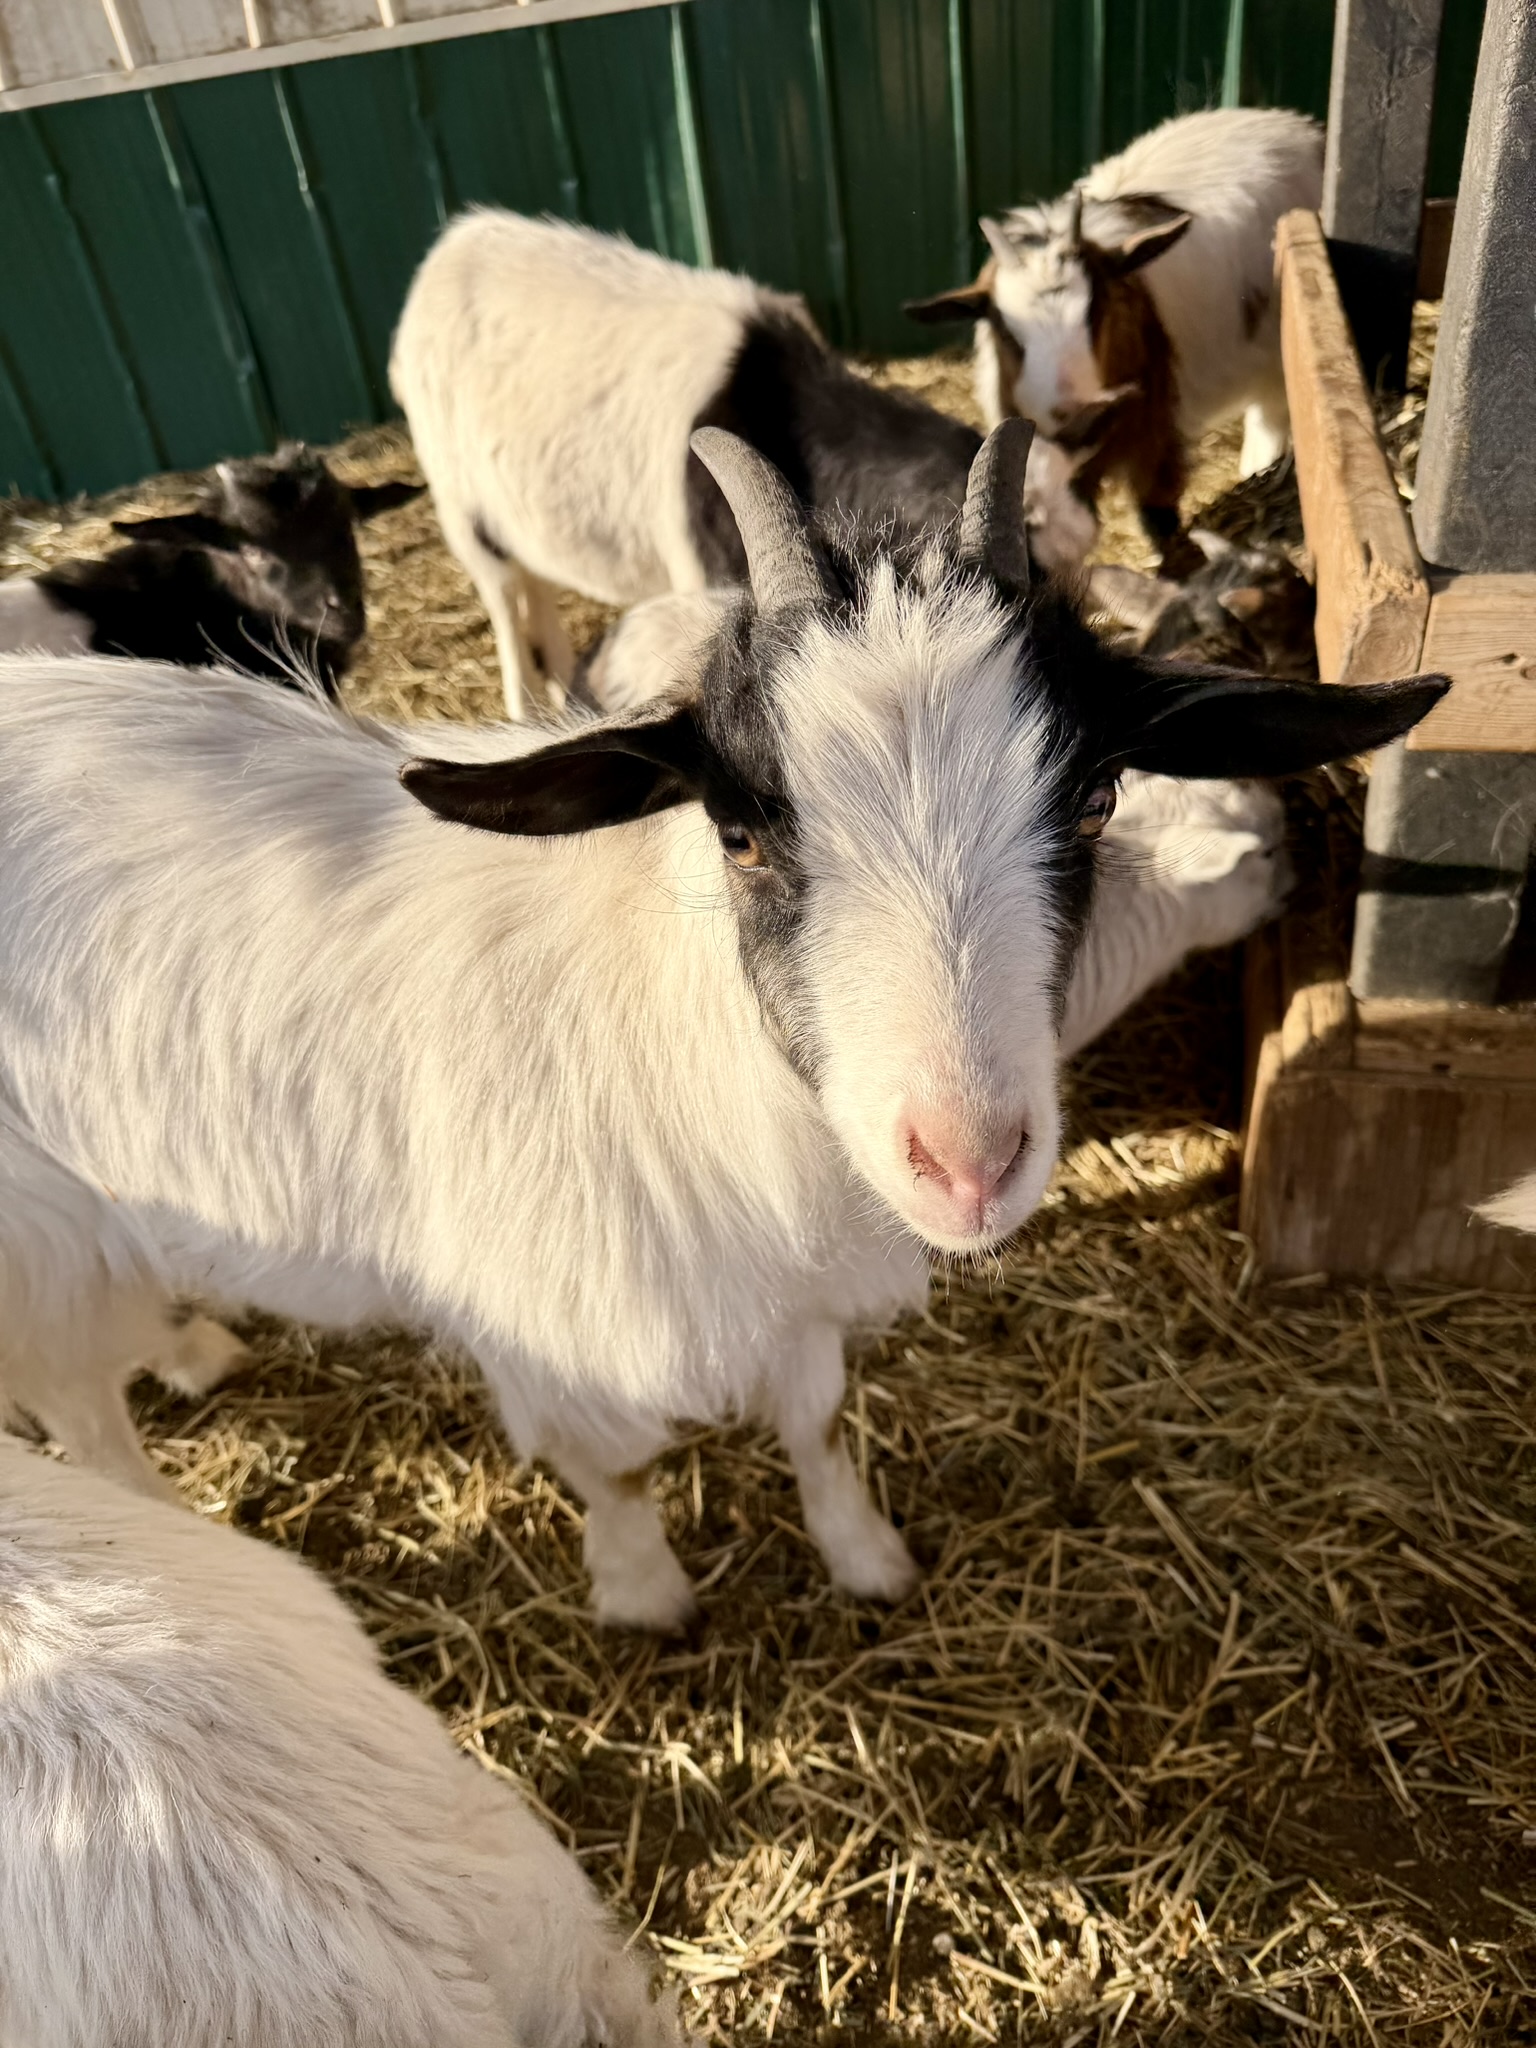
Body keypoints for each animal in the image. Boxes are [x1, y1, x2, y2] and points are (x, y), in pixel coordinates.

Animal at [906, 108, 1322, 563]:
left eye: (1096, 309)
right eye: (1005, 330)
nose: (1070, 411)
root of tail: (1295, 126)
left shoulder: (1157, 427)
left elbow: (1157, 514)